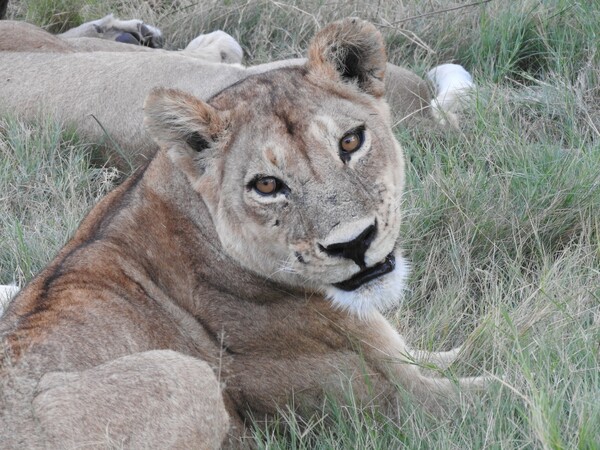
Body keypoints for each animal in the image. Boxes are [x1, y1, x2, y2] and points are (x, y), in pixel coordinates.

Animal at [0, 16, 482, 446]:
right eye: (266, 185)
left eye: (350, 141)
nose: (354, 243)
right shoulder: (404, 401)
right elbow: (495, 386)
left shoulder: (410, 360)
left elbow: (474, 346)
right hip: (185, 374)